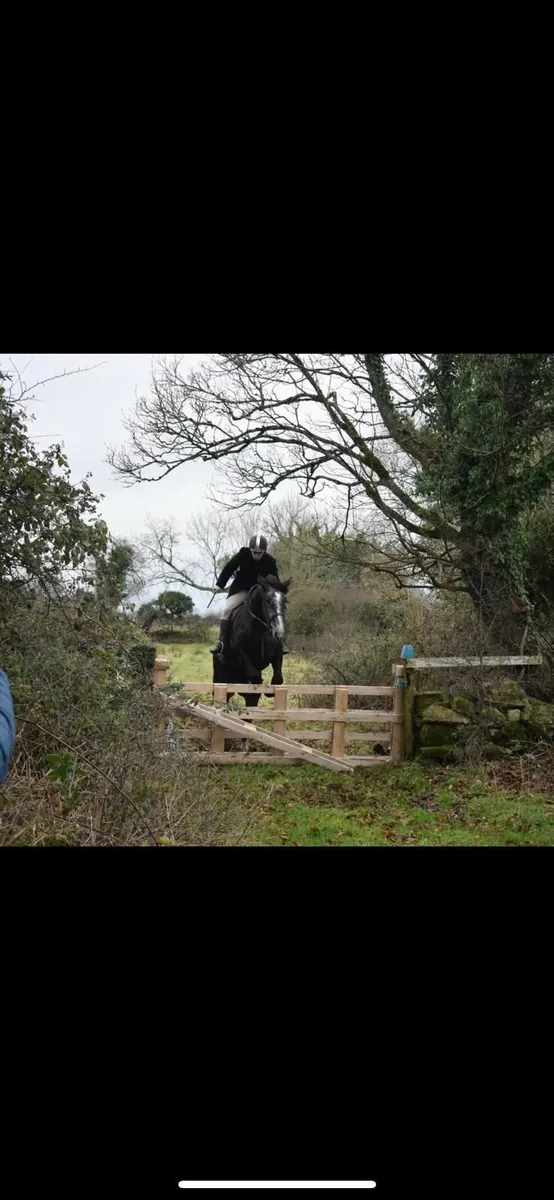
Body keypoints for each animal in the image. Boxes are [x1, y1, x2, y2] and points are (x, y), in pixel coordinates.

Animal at [213, 576, 291, 745]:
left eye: (285, 602)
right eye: (267, 601)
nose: (280, 633)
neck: (259, 626)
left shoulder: (277, 653)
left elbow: (278, 678)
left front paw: (270, 693)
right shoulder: (240, 652)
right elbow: (255, 676)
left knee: (249, 704)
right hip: (220, 677)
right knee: (225, 697)